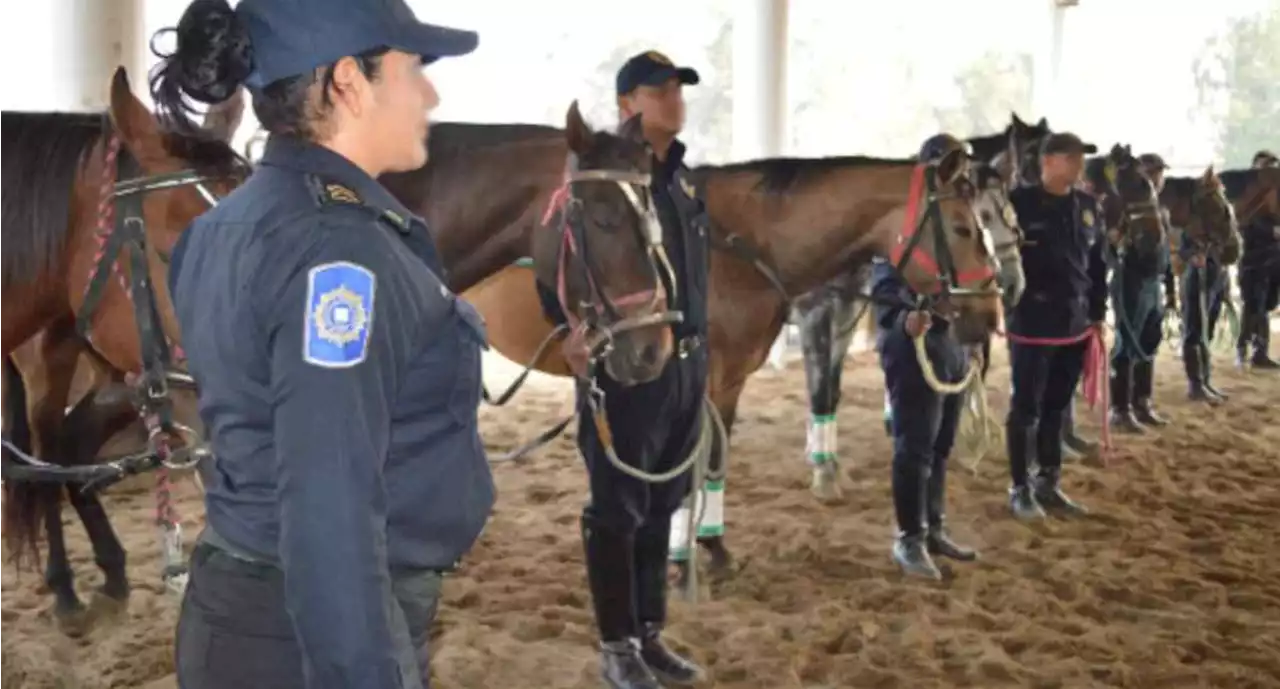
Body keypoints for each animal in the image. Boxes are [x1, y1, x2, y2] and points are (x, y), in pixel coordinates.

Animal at [2, 97, 670, 627]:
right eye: (603, 218)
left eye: (653, 221)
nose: (653, 346)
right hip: (59, 369)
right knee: (45, 447)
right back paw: (65, 587)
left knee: (69, 445)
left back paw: (110, 572)